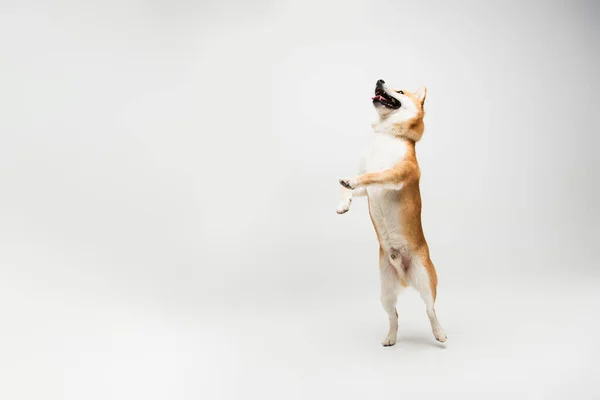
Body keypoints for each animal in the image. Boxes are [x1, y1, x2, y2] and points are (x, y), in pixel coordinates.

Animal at [338, 79, 446, 346]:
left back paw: (439, 332)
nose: (380, 80)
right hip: (385, 292)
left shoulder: (395, 175)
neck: (386, 136)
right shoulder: (367, 191)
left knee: (430, 310)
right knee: (394, 315)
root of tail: (404, 274)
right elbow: (351, 188)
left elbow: (371, 175)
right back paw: (390, 337)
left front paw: (350, 181)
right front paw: (343, 204)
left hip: (426, 282)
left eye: (400, 91)